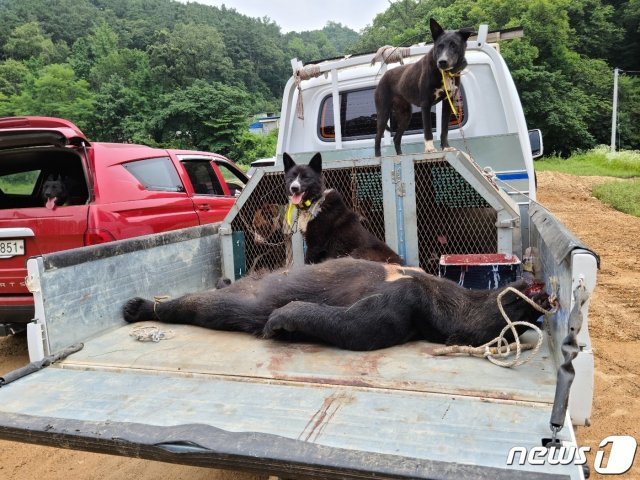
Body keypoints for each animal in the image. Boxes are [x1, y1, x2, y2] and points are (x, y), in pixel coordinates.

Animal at [372, 17, 472, 157]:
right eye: (439, 46)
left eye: (454, 45)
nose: (442, 62)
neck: (444, 73)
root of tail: (382, 78)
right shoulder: (426, 103)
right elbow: (428, 130)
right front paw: (430, 149)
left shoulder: (448, 103)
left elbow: (444, 130)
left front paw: (446, 147)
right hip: (383, 112)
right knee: (377, 137)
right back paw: (378, 157)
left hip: (405, 115)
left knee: (396, 138)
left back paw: (400, 155)